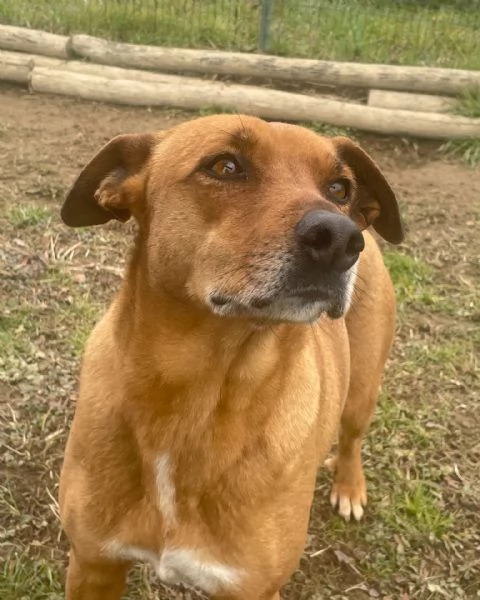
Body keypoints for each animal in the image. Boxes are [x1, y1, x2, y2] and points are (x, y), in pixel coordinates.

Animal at [59, 113, 404, 600]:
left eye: (339, 188)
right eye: (224, 166)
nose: (341, 238)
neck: (196, 398)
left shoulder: (252, 588)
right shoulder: (92, 564)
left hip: (362, 389)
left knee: (352, 435)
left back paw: (349, 486)